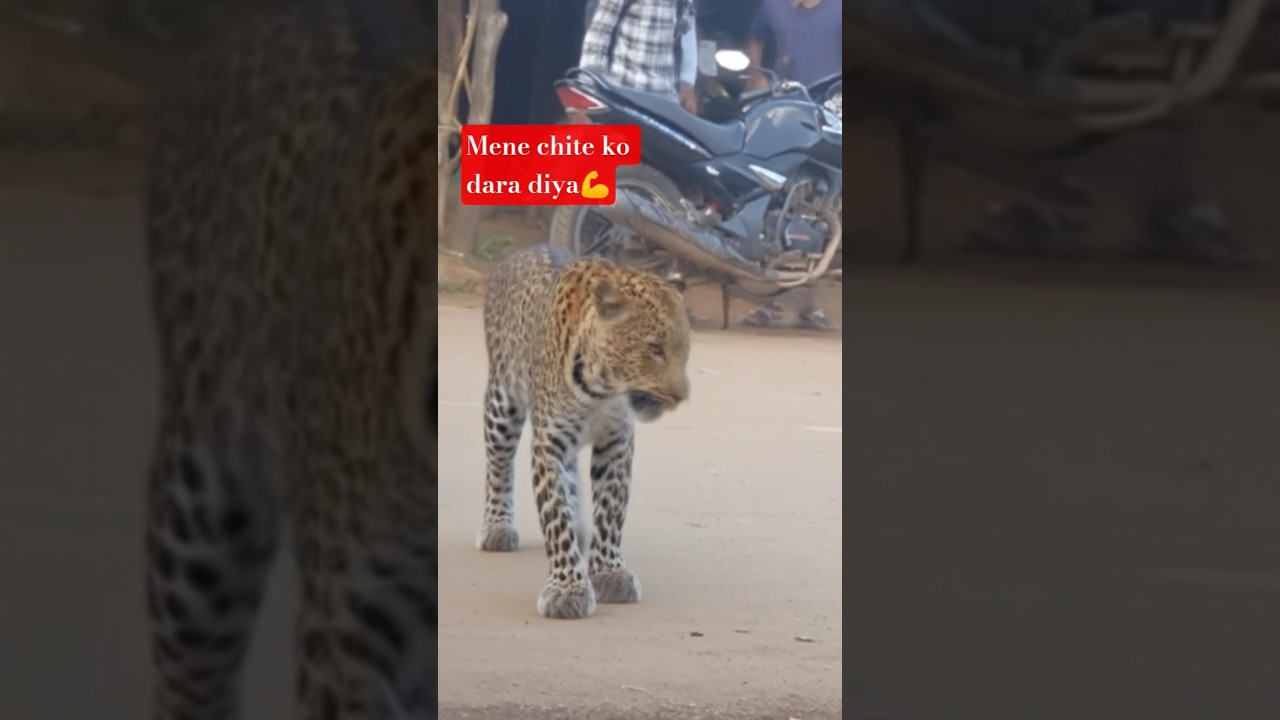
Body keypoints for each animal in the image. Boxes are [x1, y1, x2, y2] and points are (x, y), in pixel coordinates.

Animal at [476, 243, 692, 619]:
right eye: (653, 348)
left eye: (686, 350)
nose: (682, 397)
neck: (602, 389)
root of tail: (523, 250)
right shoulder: (549, 442)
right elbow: (554, 513)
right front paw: (567, 588)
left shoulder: (617, 440)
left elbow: (610, 509)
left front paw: (609, 572)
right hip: (502, 403)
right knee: (499, 464)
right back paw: (497, 526)